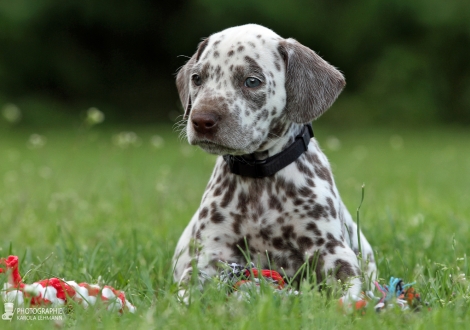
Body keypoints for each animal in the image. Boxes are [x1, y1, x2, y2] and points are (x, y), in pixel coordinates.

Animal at [173, 23, 374, 302]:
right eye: (197, 78)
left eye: (251, 81)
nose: (201, 120)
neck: (259, 176)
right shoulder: (211, 253)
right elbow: (186, 291)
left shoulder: (331, 250)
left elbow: (349, 290)